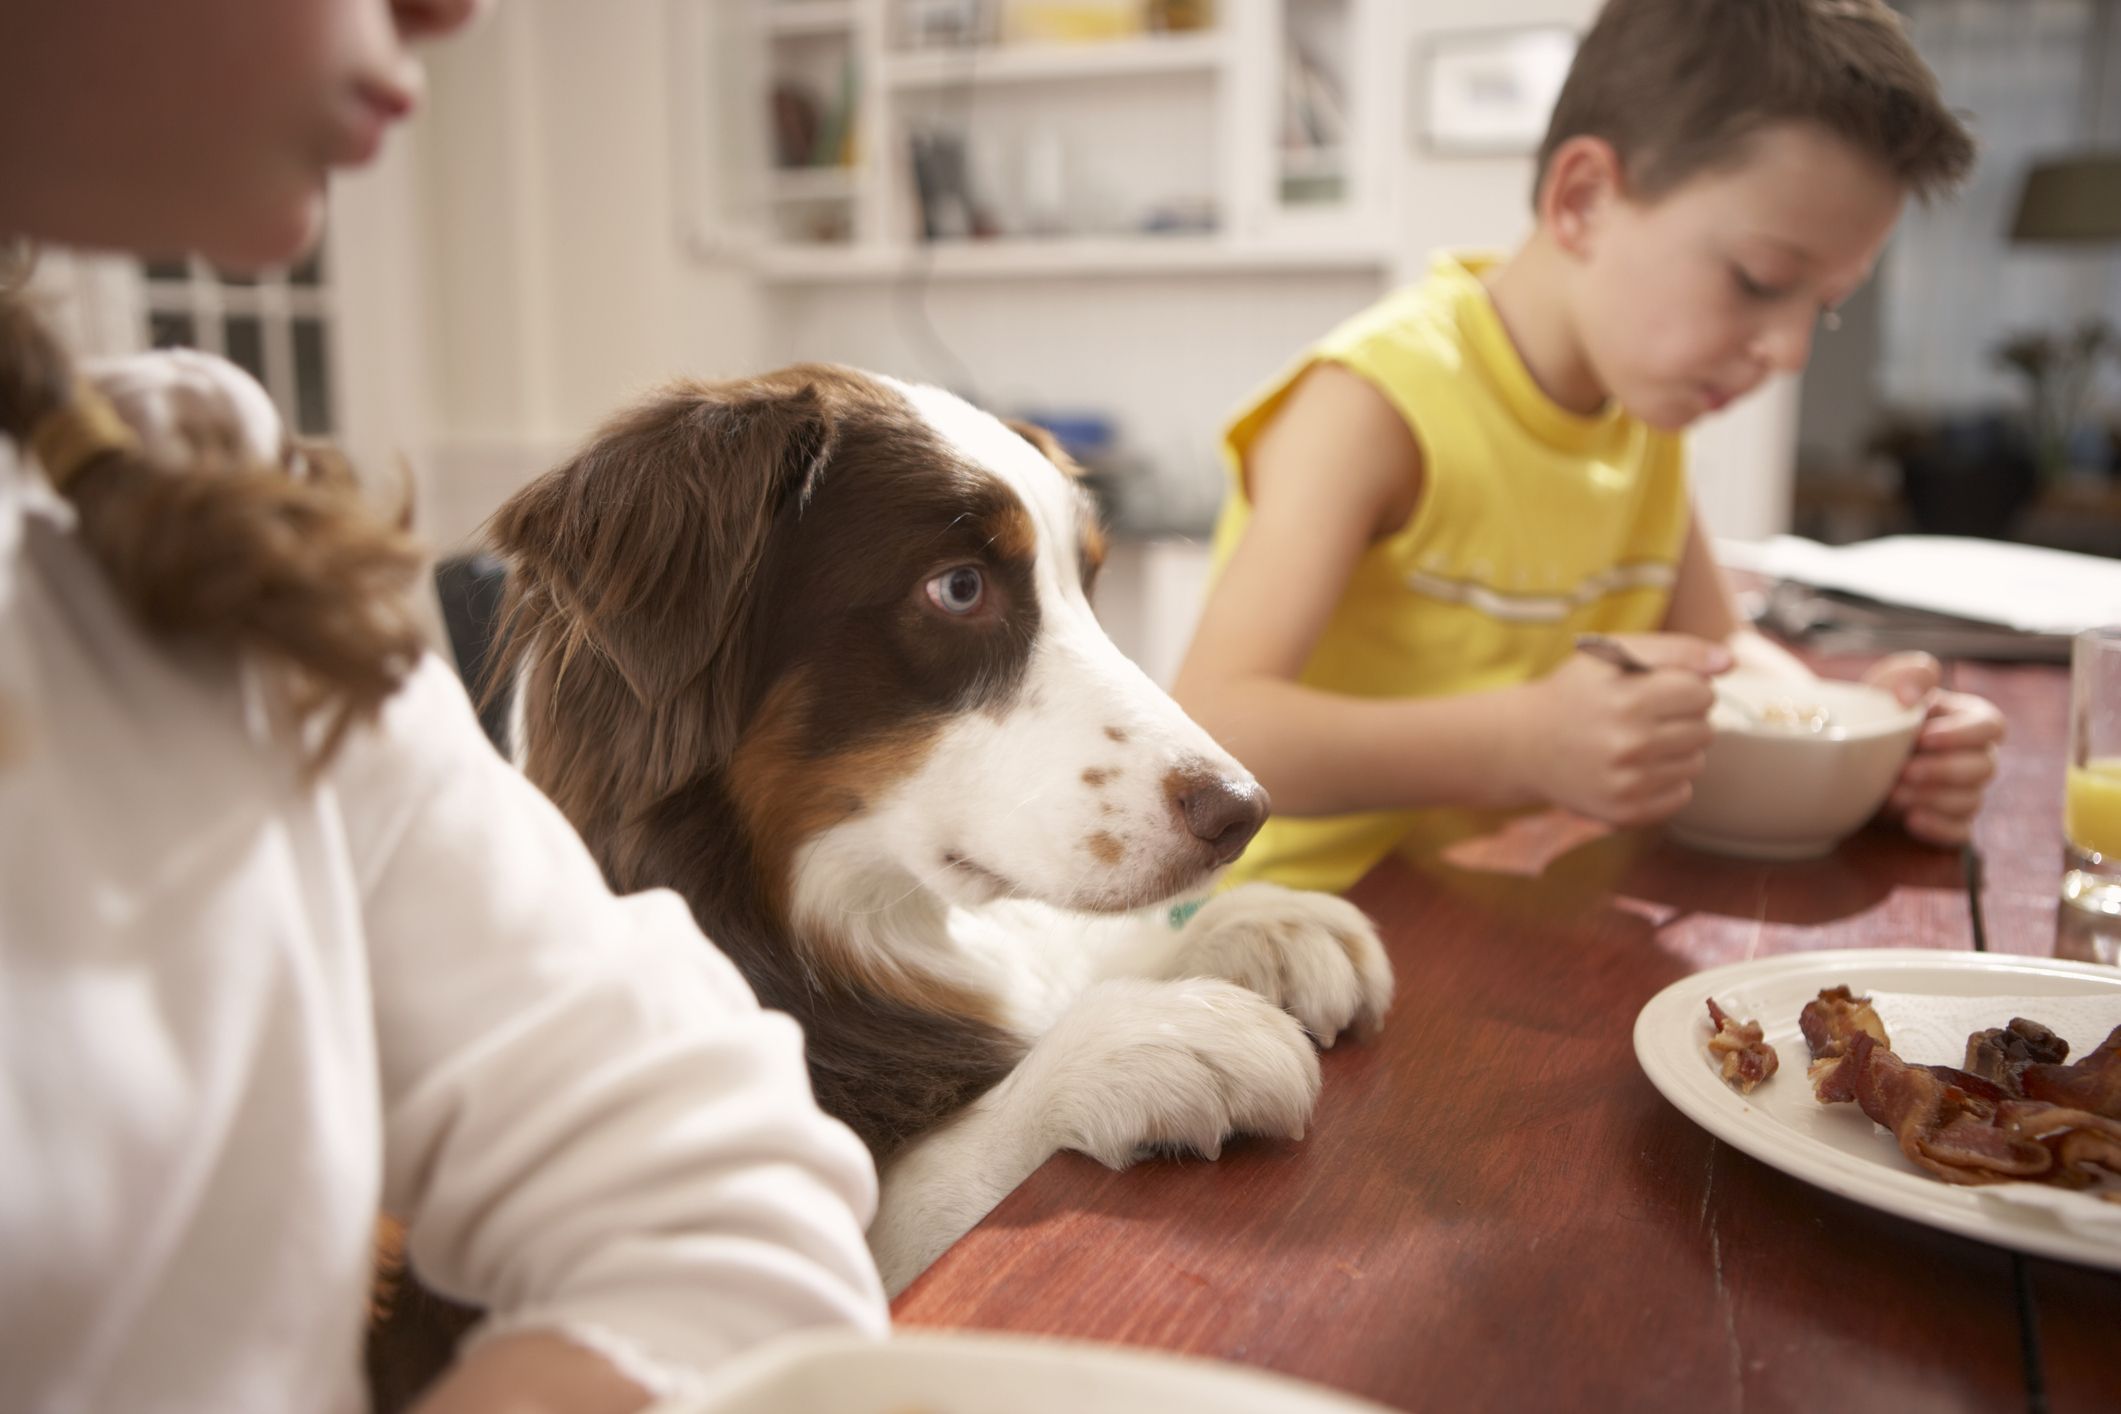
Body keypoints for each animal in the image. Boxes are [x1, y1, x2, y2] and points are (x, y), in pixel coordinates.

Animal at [487, 364, 1399, 1297]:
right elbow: (925, 1178)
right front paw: (1149, 1040)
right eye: (959, 588)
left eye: (1086, 587)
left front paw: (1259, 924)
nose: (1241, 812)